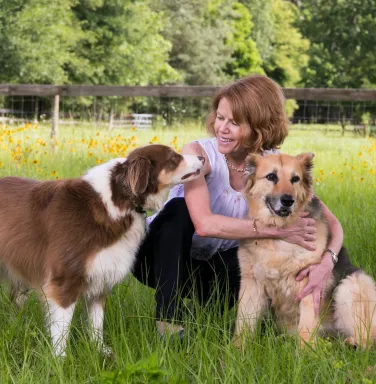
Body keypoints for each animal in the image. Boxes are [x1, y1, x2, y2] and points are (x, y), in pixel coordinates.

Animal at [0, 145, 204, 356]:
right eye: (174, 158)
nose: (202, 158)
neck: (119, 200)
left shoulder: (101, 277)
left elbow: (96, 324)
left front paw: (99, 351)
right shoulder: (64, 280)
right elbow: (62, 330)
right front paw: (60, 360)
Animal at [235, 152, 376, 348]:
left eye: (295, 179)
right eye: (271, 176)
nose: (288, 201)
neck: (280, 235)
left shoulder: (309, 284)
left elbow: (306, 327)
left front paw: (305, 353)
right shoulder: (251, 285)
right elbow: (243, 324)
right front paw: (236, 349)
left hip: (351, 284)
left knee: (368, 337)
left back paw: (353, 343)